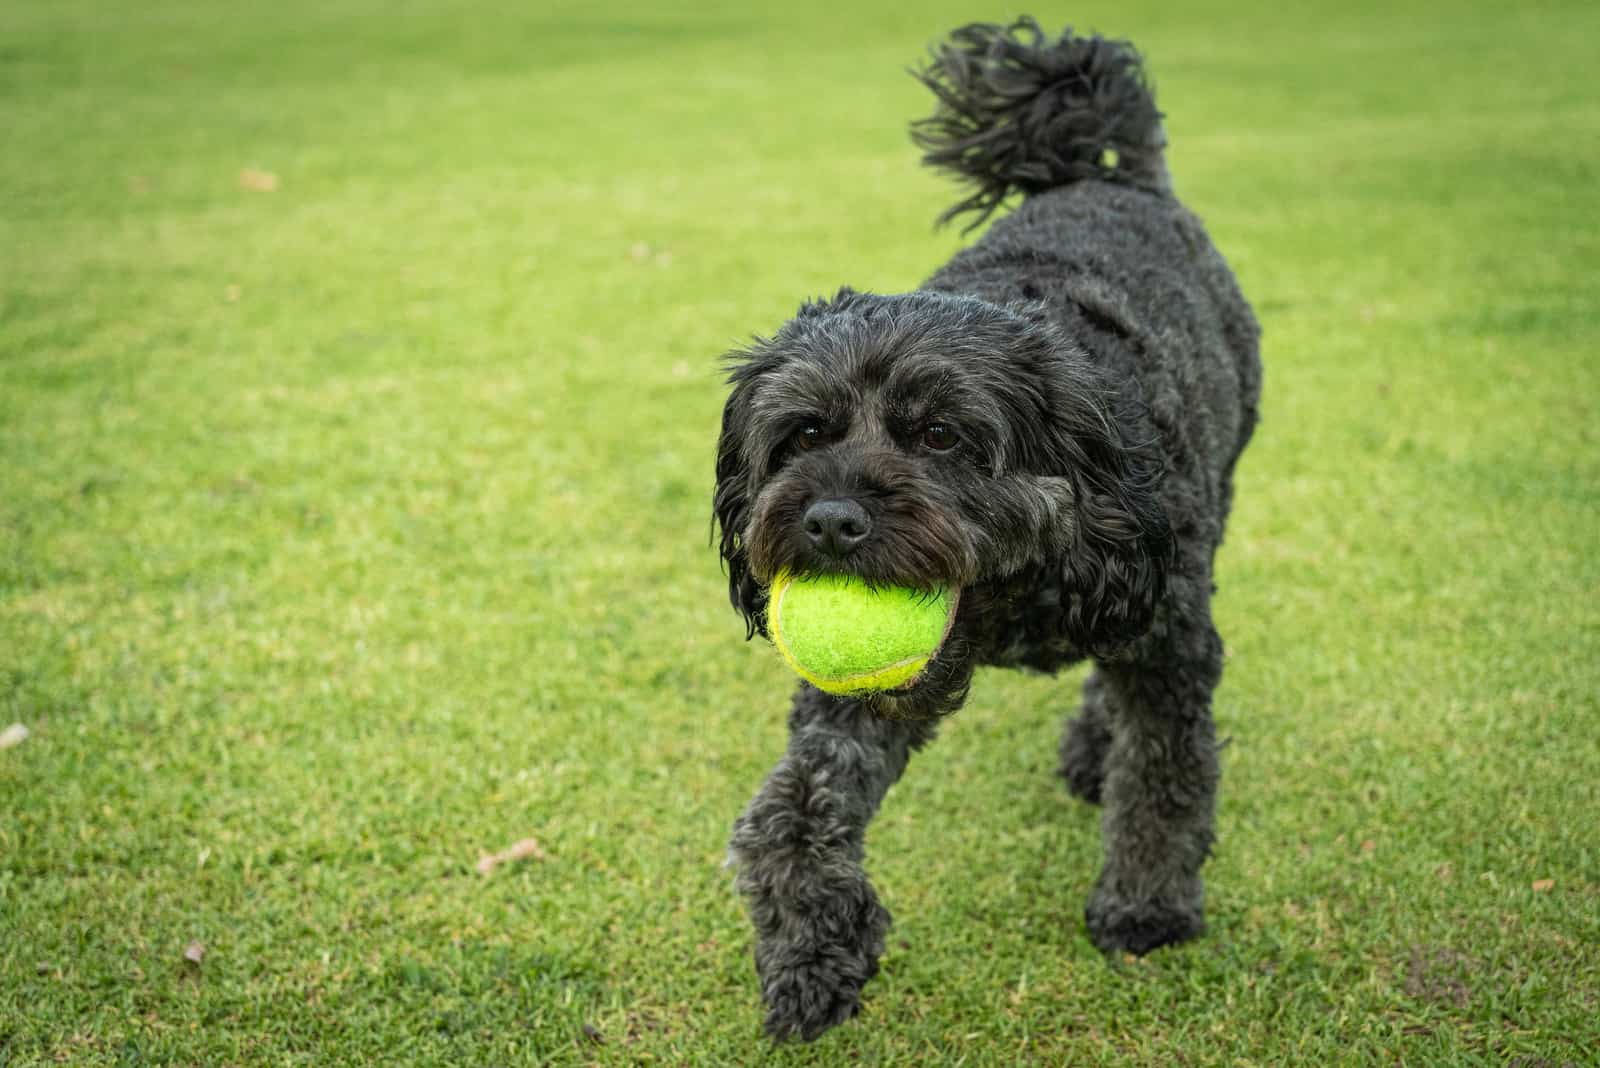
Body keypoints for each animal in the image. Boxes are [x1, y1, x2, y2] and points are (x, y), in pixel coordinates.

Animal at [716, 20, 1260, 1042]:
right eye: (805, 433)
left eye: (940, 434)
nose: (830, 521)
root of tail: (1112, 178)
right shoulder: (862, 698)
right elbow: (791, 812)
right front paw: (814, 951)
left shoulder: (1163, 627)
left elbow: (1165, 774)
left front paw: (1146, 906)